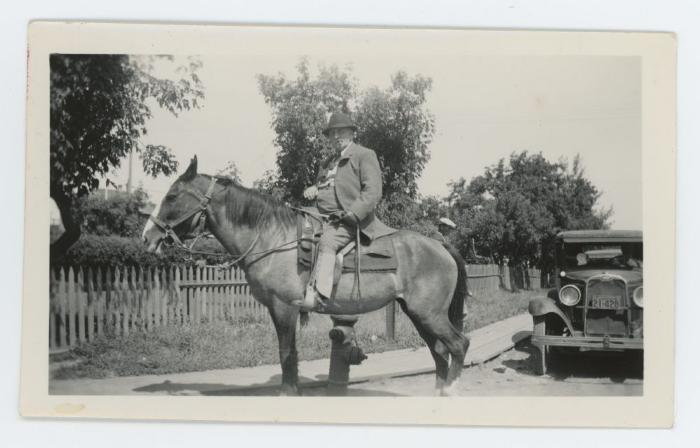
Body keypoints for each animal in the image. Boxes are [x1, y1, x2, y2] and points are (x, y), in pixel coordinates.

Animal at [142, 156, 470, 394]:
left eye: (172, 196)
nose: (147, 236)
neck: (272, 238)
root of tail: (440, 246)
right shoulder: (282, 310)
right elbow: (292, 354)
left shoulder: (284, 307)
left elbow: (286, 354)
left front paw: (288, 393)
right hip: (419, 315)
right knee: (439, 352)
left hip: (429, 314)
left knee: (458, 345)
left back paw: (452, 390)